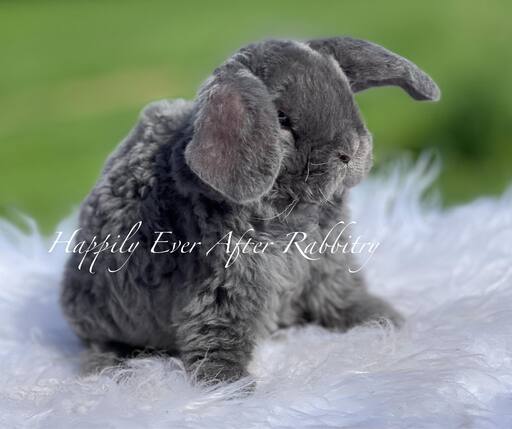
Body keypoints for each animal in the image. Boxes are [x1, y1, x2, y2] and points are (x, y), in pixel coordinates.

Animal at [62, 37, 440, 382]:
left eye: (347, 96)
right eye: (282, 119)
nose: (350, 151)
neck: (295, 213)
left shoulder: (327, 264)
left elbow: (340, 295)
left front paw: (382, 319)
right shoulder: (223, 287)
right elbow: (219, 335)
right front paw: (228, 384)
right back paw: (113, 369)